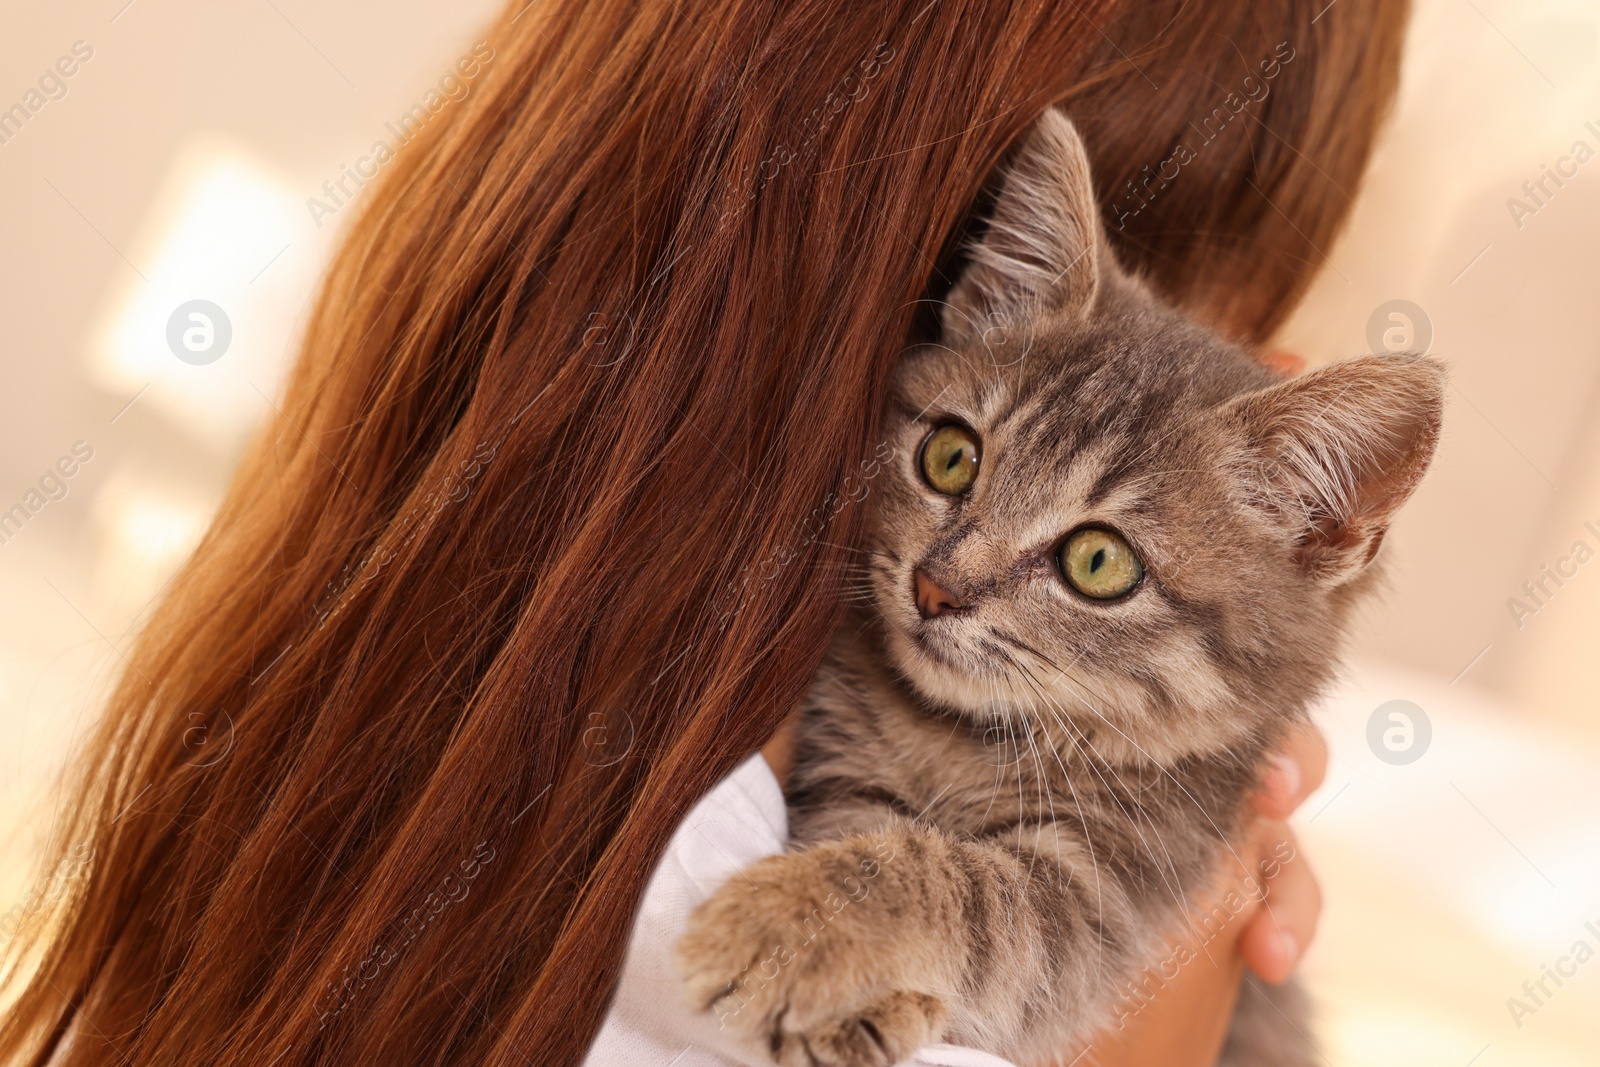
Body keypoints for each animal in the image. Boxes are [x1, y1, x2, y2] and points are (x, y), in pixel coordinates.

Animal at [672, 108, 1440, 1067]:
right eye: (950, 455)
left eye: (1099, 563)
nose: (935, 586)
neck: (965, 736)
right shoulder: (846, 752)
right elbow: (868, 828)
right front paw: (850, 994)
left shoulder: (1110, 893)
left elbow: (956, 883)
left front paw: (782, 926)